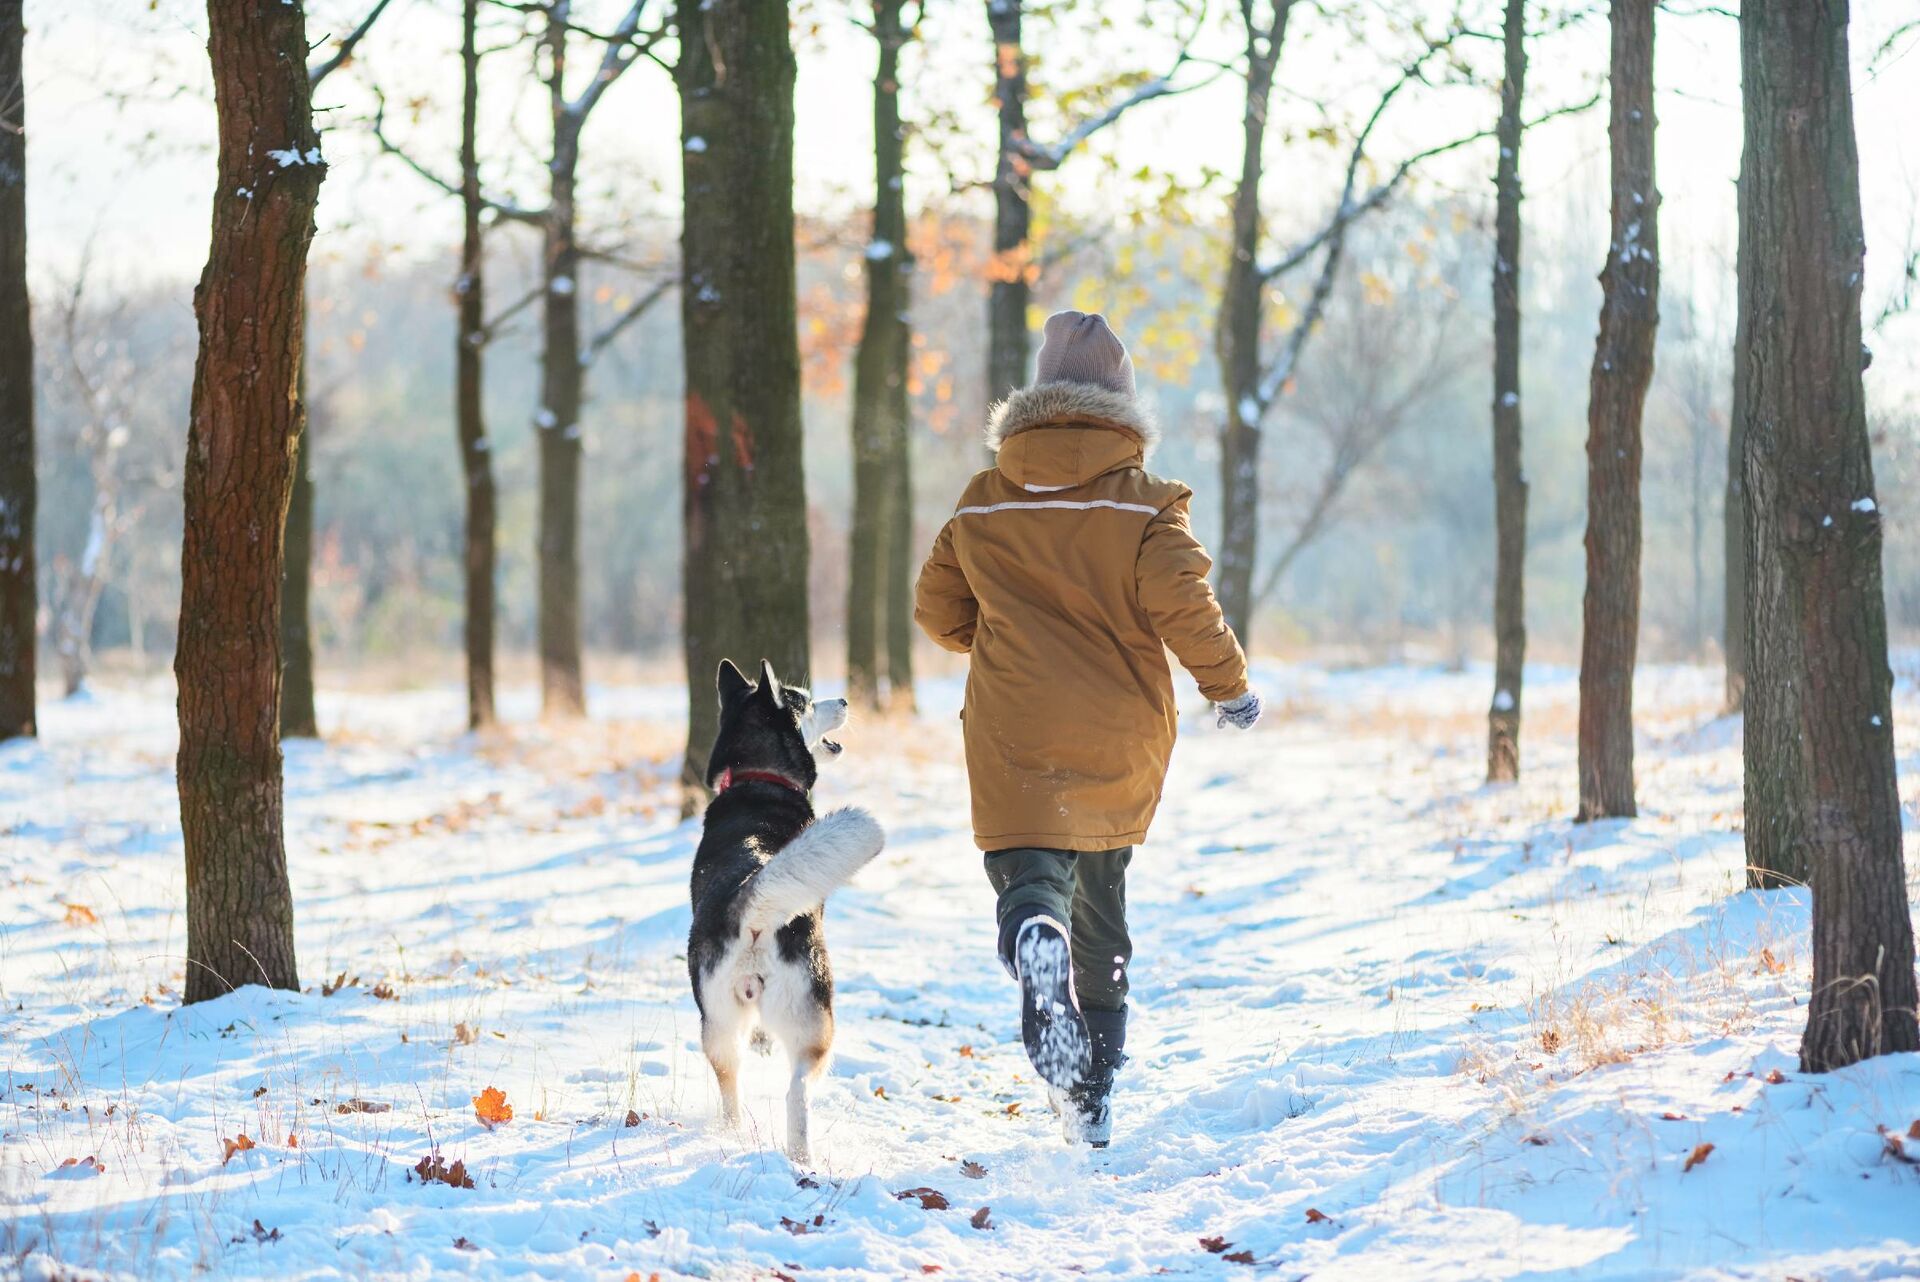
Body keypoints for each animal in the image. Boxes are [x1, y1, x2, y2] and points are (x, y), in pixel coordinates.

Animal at [687, 656, 879, 1166]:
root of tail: (751, 895)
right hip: (816, 1018)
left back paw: (733, 1133)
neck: (759, 779)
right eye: (806, 701)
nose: (845, 699)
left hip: (717, 1022)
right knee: (798, 1089)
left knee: (729, 1081)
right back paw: (800, 1156)